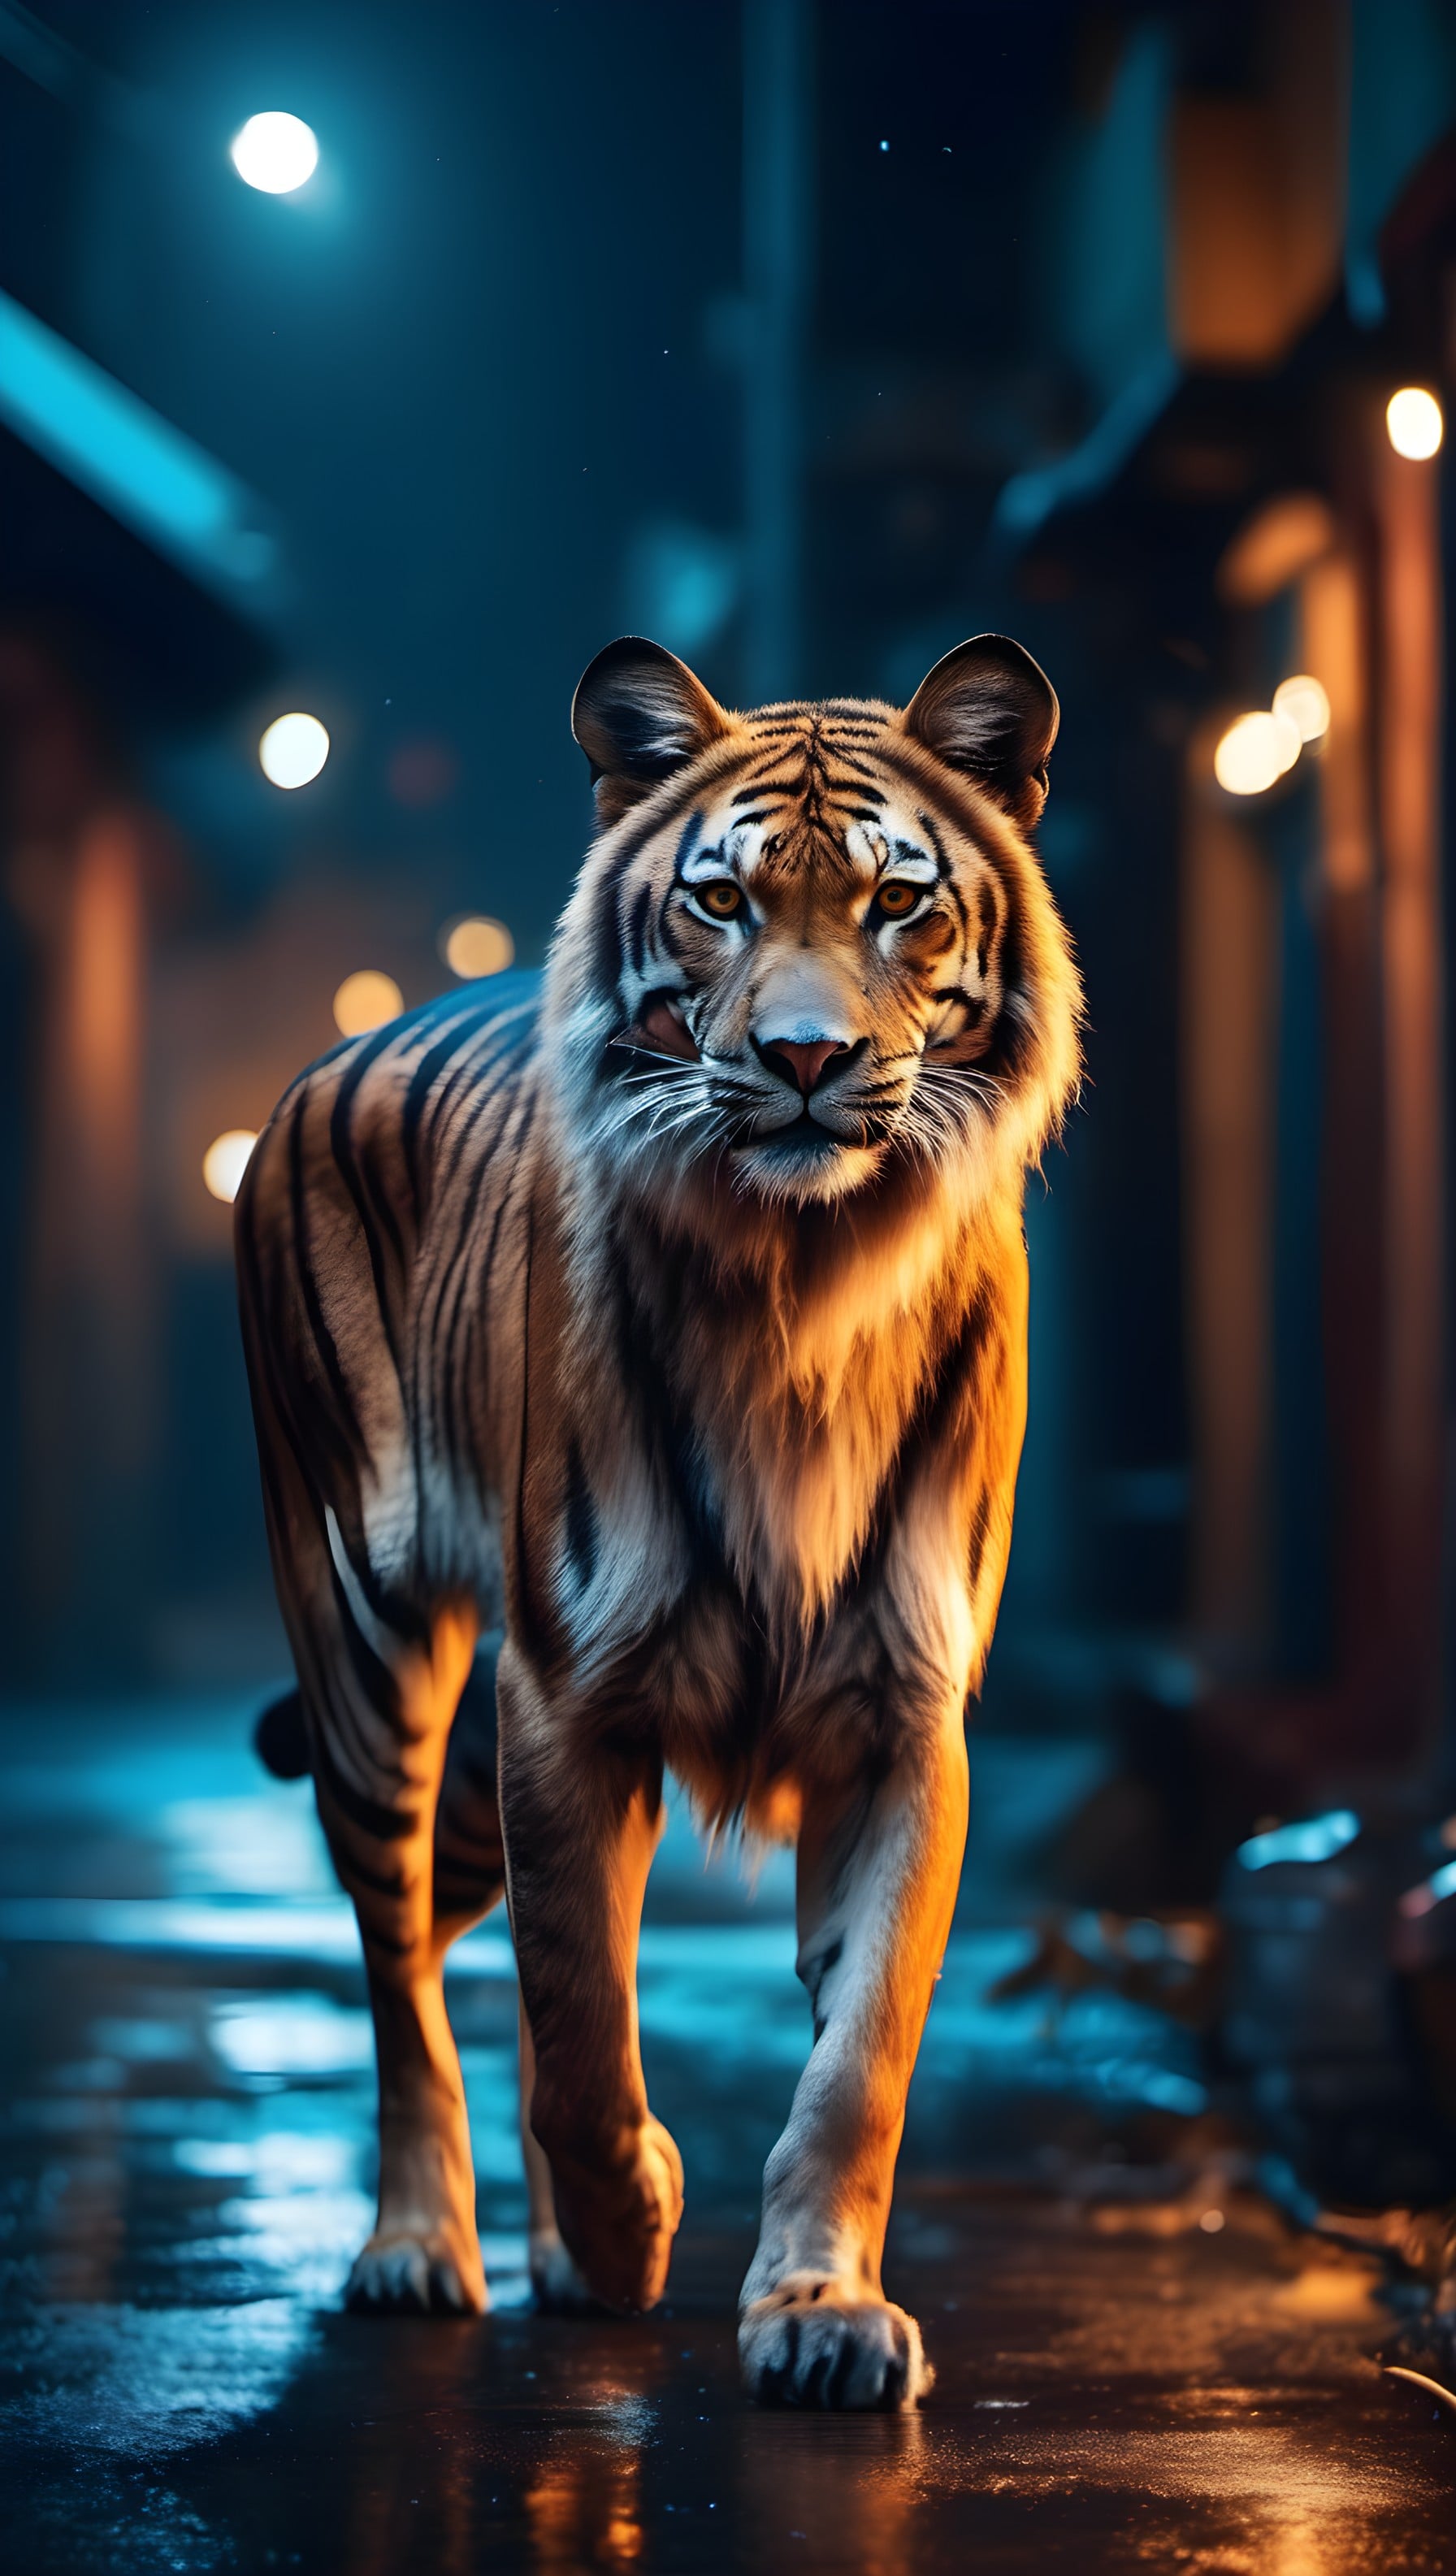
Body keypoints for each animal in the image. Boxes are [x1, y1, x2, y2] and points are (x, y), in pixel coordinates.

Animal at [235, 630, 1081, 2411]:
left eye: (897, 904)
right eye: (722, 902)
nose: (807, 1059)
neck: (805, 1281)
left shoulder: (901, 1717)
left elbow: (856, 2059)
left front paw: (819, 2313)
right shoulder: (567, 1700)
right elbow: (574, 2020)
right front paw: (635, 2225)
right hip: (366, 1647)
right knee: (401, 1972)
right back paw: (421, 2249)